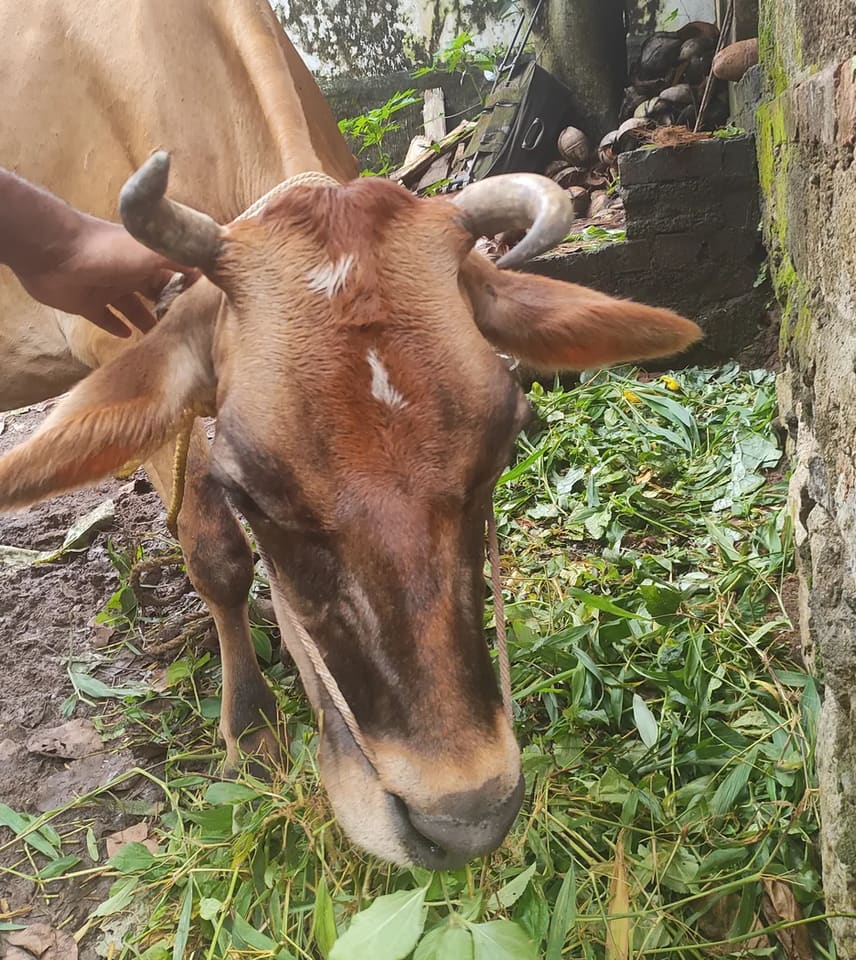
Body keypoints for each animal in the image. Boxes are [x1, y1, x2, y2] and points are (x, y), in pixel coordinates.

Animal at [0, 0, 701, 868]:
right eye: (250, 490)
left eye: (504, 444)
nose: (463, 819)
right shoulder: (121, 350)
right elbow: (218, 558)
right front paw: (251, 731)